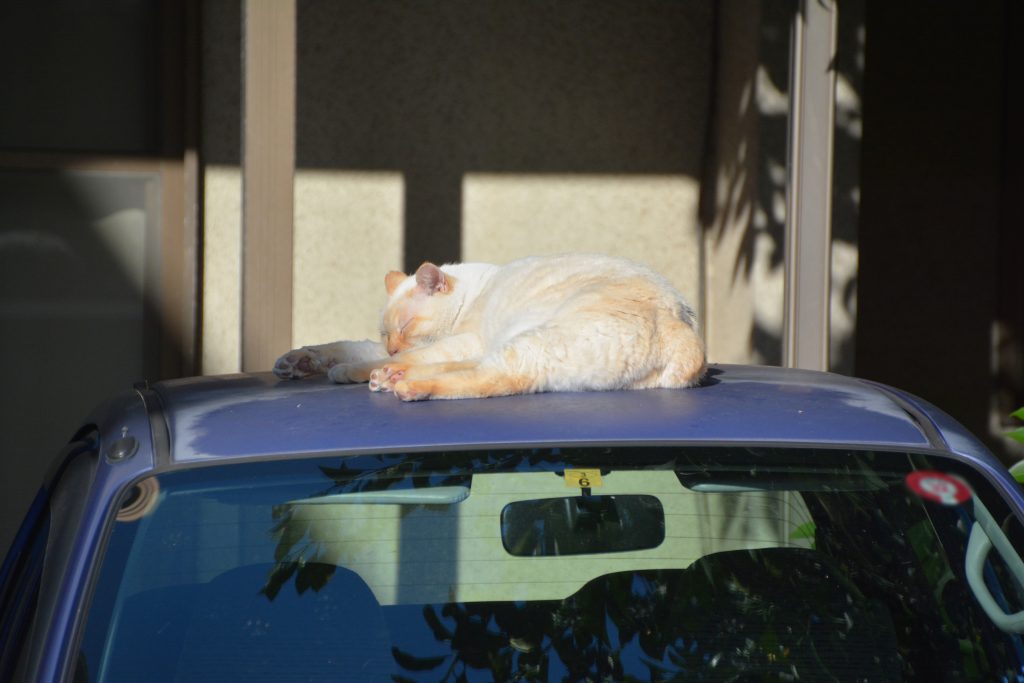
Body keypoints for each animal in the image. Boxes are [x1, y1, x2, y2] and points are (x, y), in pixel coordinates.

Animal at [272, 255, 704, 403]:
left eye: (407, 326)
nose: (392, 349)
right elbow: (348, 346)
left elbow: (384, 357)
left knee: (491, 377)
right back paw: (391, 376)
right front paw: (298, 361)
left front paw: (349, 372)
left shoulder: (462, 340)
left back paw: (404, 384)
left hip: (531, 345)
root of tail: (681, 324)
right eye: (385, 333)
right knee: (475, 369)